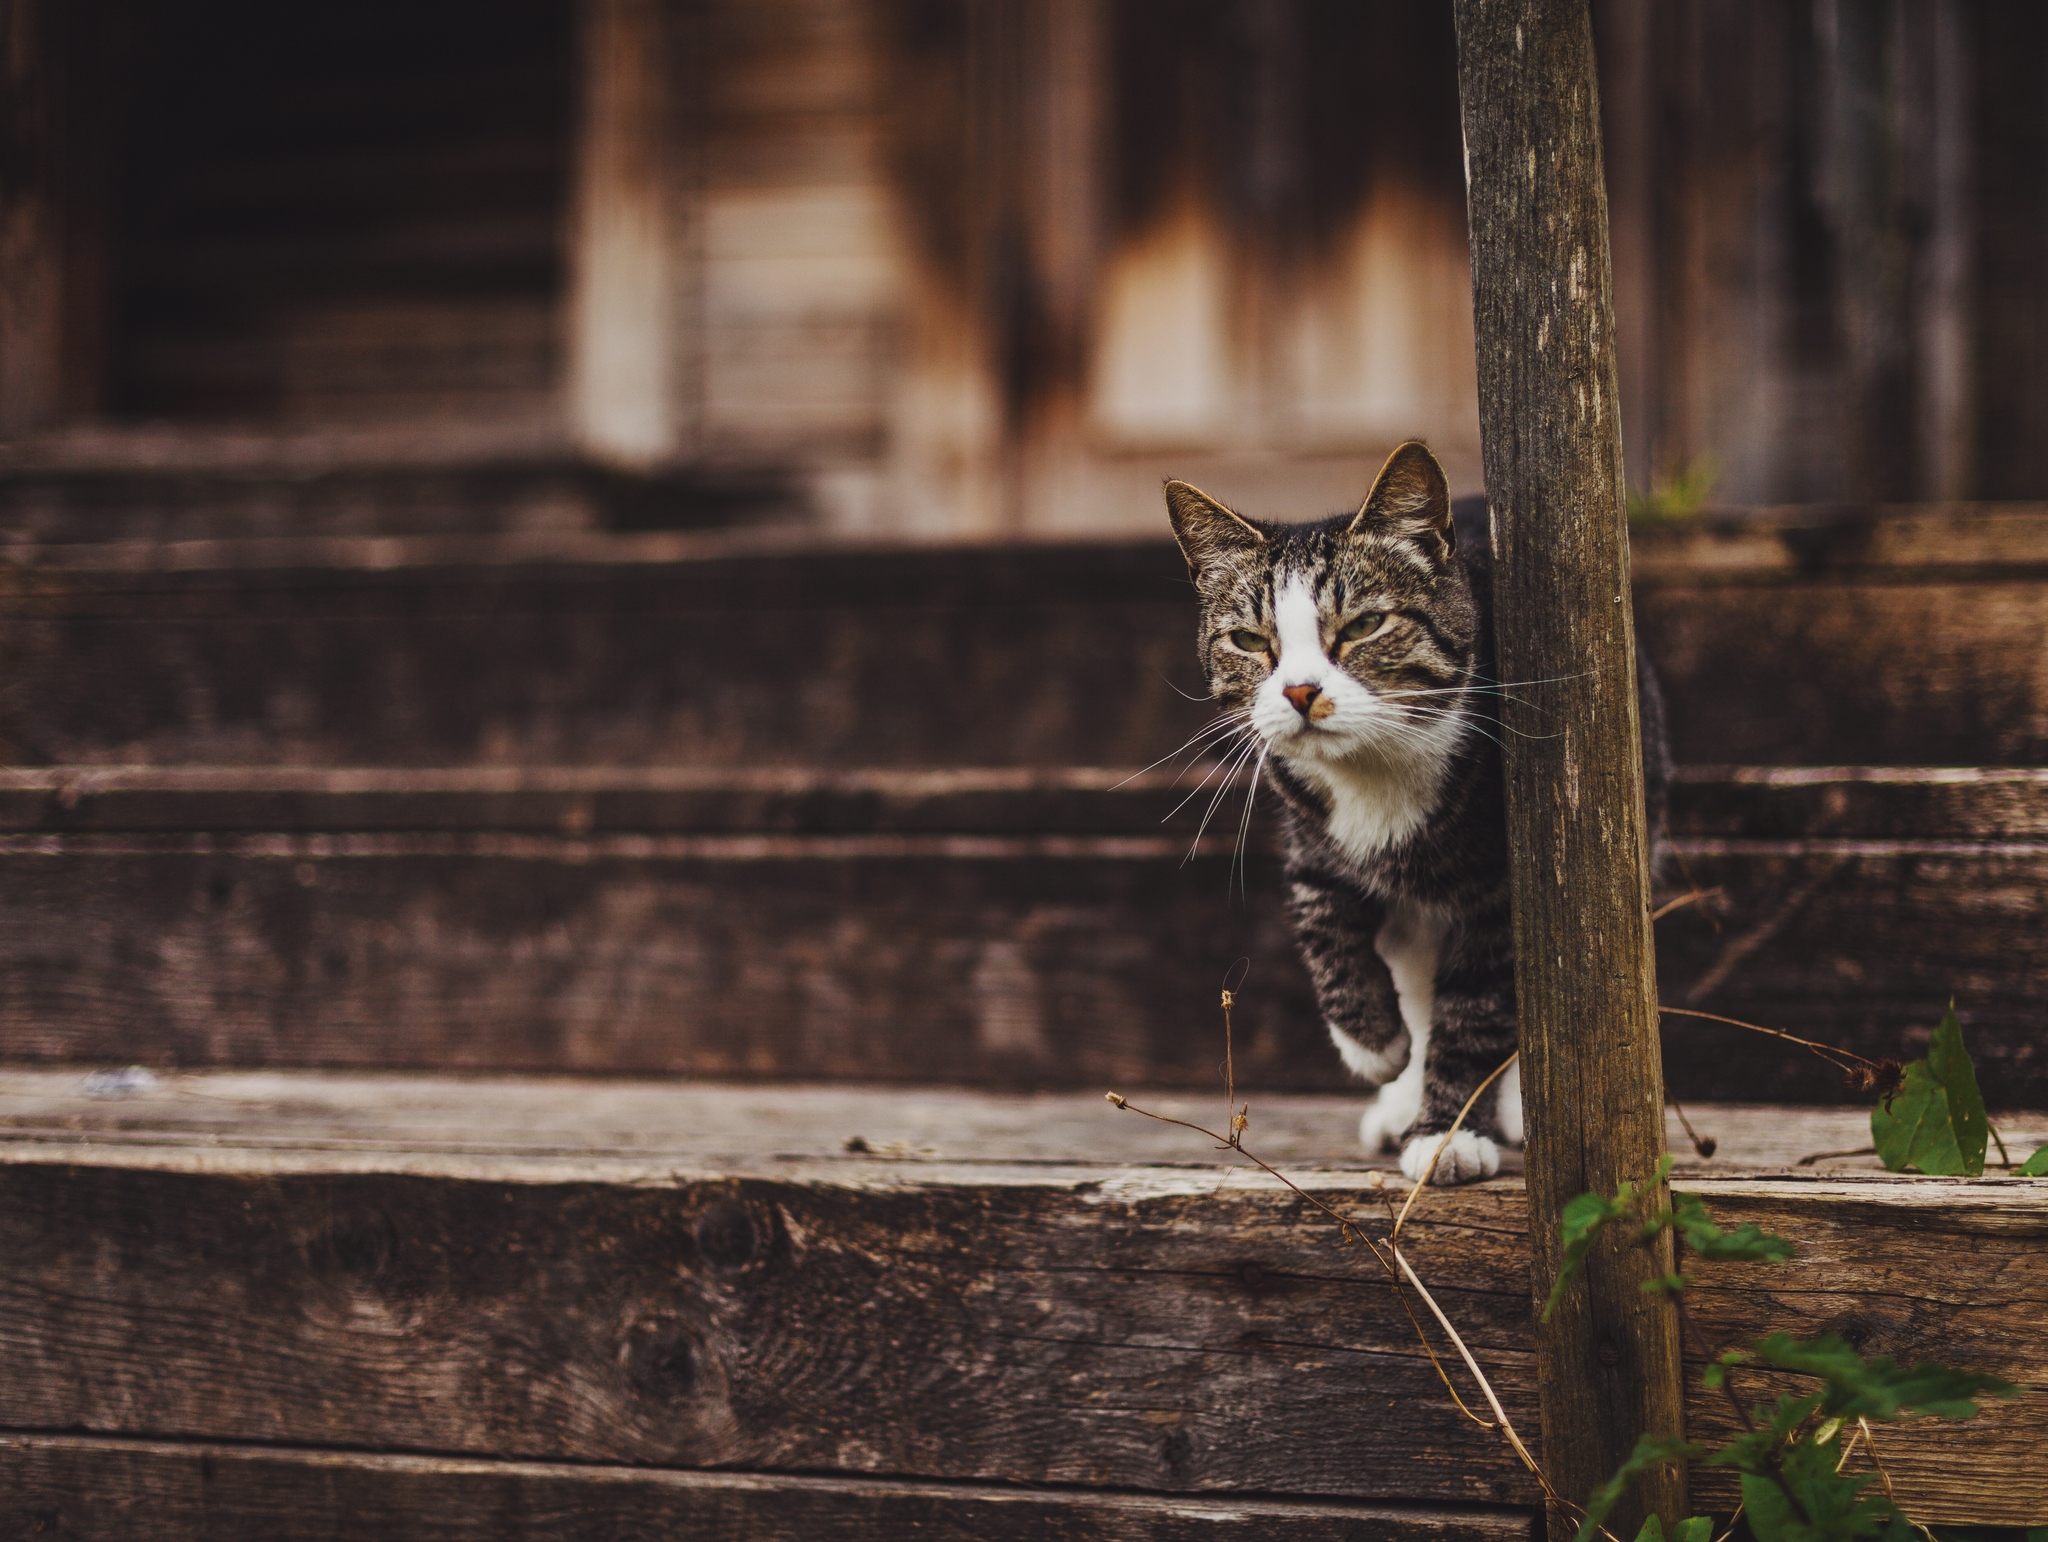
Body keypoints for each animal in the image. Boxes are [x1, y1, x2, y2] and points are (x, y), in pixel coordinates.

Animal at [1171, 438, 1662, 1187]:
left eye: (1365, 624)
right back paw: (1399, 1095)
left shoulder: (1501, 895)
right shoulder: (1309, 837)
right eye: (1250, 641)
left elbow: (1477, 1012)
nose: (1300, 692)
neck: (1375, 770)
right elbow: (1326, 929)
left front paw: (1448, 1135)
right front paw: (1376, 1048)